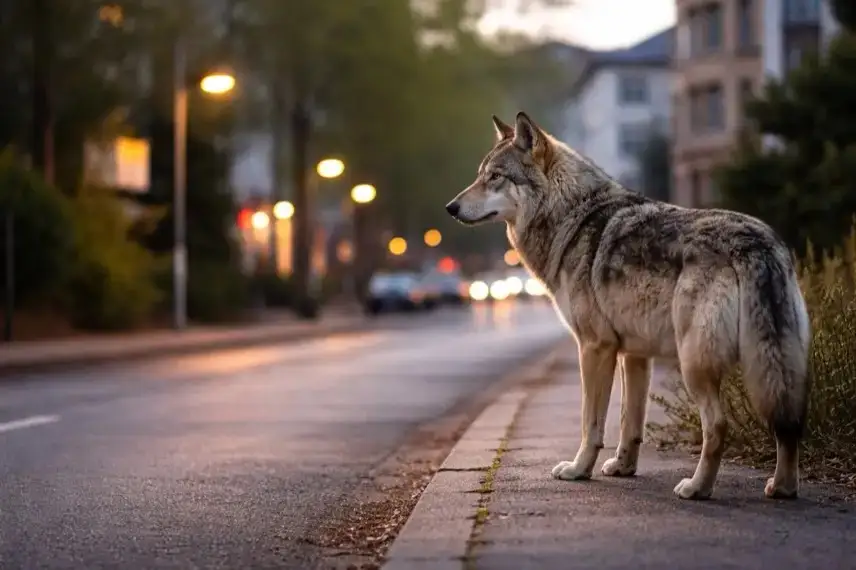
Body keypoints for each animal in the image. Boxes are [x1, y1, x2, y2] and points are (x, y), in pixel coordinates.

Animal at [445, 112, 811, 500]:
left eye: (495, 177)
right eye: (480, 175)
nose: (450, 208)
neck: (570, 215)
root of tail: (756, 243)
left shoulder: (594, 347)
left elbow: (591, 424)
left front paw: (578, 470)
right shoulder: (635, 355)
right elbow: (629, 423)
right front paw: (623, 468)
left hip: (695, 366)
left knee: (717, 425)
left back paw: (697, 488)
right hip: (780, 367)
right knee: (789, 425)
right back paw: (782, 487)